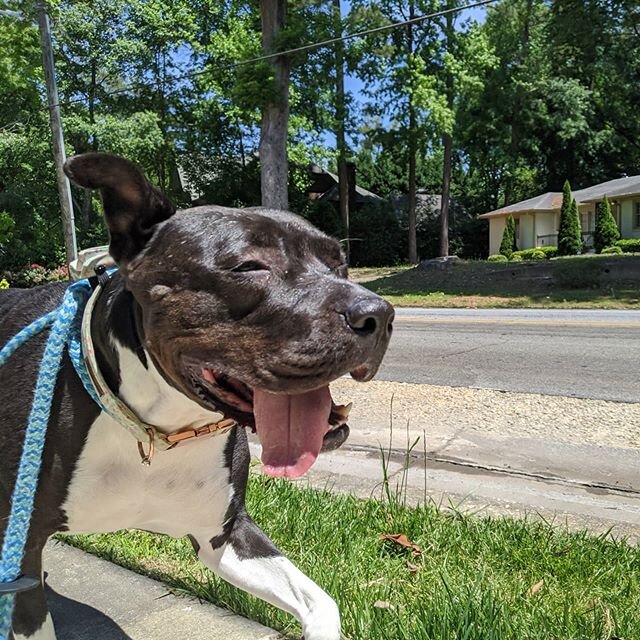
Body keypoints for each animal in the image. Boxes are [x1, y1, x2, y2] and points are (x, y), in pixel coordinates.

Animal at [0, 155, 392, 640]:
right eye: (249, 266)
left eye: (340, 264)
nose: (380, 314)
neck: (160, 427)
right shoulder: (19, 558)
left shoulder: (222, 533)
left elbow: (321, 604)